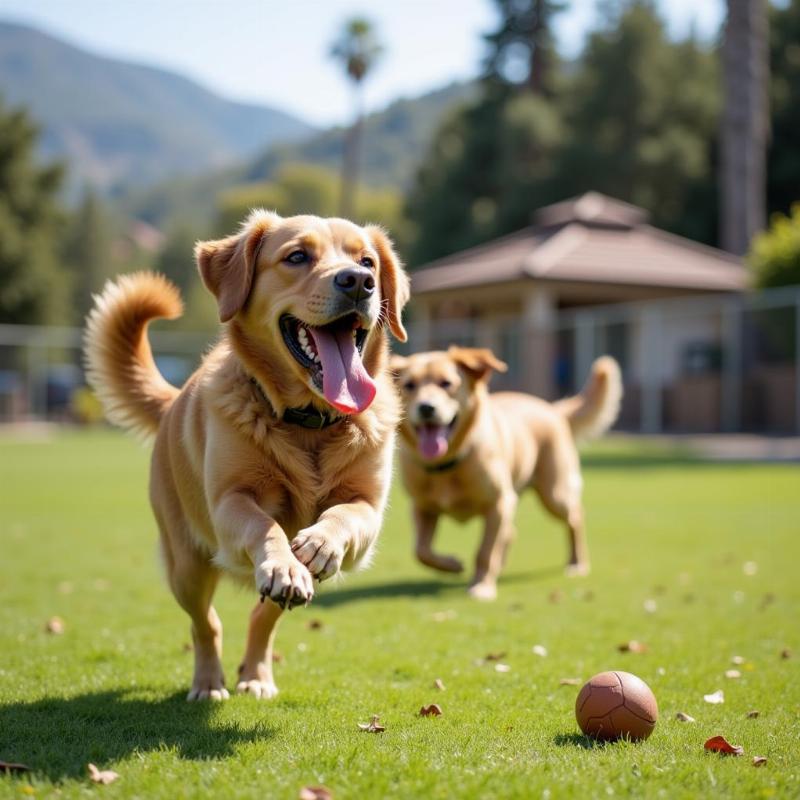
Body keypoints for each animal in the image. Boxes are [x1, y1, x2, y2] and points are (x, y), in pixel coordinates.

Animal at [84, 211, 410, 700]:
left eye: (367, 260)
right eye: (297, 256)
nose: (358, 282)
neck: (307, 422)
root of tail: (174, 400)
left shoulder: (368, 506)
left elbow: (343, 516)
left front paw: (318, 542)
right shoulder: (230, 502)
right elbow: (265, 526)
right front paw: (282, 561)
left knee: (264, 616)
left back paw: (256, 673)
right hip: (187, 565)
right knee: (206, 624)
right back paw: (209, 681)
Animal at [390, 350, 620, 600]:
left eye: (447, 383)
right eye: (409, 385)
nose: (426, 408)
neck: (448, 464)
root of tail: (553, 410)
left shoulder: (498, 504)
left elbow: (485, 552)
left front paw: (482, 586)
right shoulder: (422, 508)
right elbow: (421, 551)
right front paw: (452, 565)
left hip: (555, 494)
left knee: (575, 518)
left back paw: (577, 563)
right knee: (511, 533)